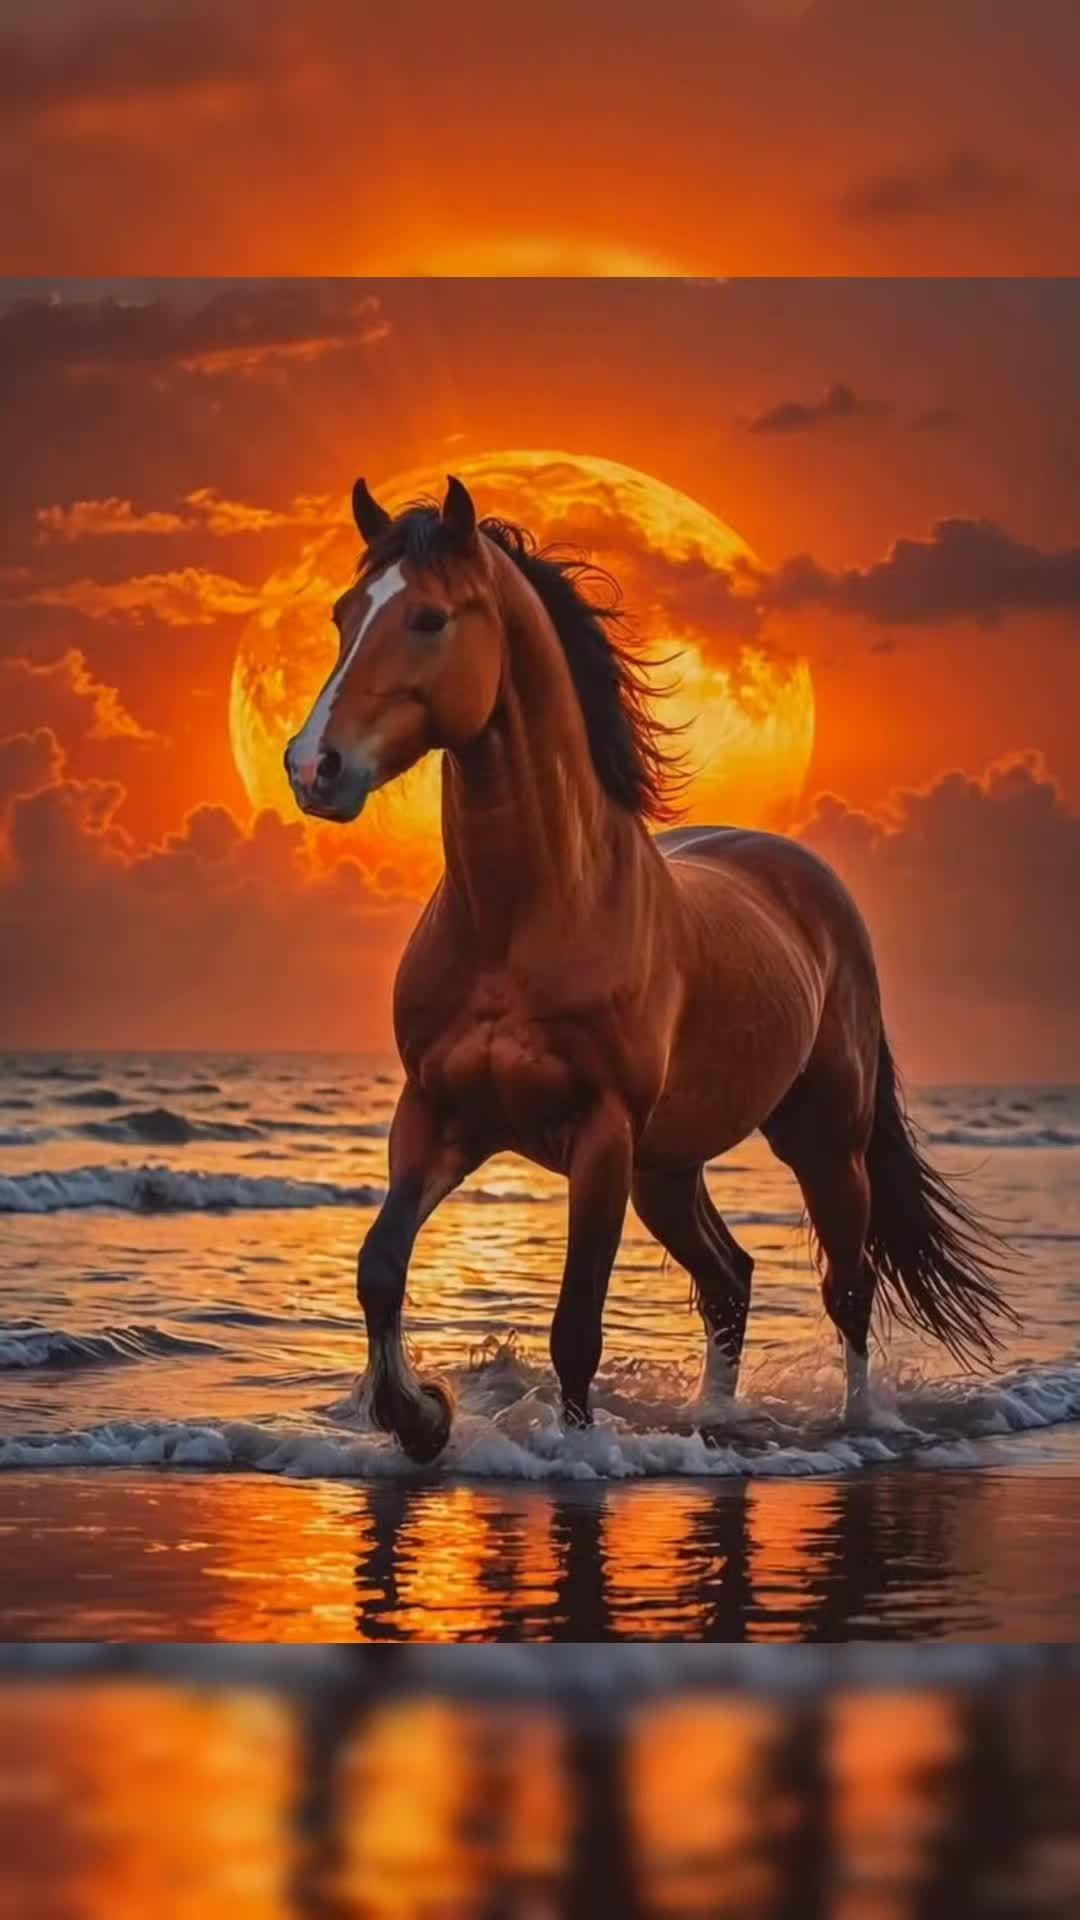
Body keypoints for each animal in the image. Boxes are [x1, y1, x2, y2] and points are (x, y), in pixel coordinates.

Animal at [285, 475, 1014, 1465]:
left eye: (429, 618)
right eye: (343, 613)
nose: (312, 767)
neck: (529, 916)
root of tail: (811, 885)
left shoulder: (600, 1135)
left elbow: (575, 1326)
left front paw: (571, 1452)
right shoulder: (439, 1116)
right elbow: (379, 1267)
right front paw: (421, 1416)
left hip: (822, 1145)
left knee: (849, 1287)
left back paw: (860, 1426)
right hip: (668, 1166)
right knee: (731, 1277)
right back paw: (715, 1419)